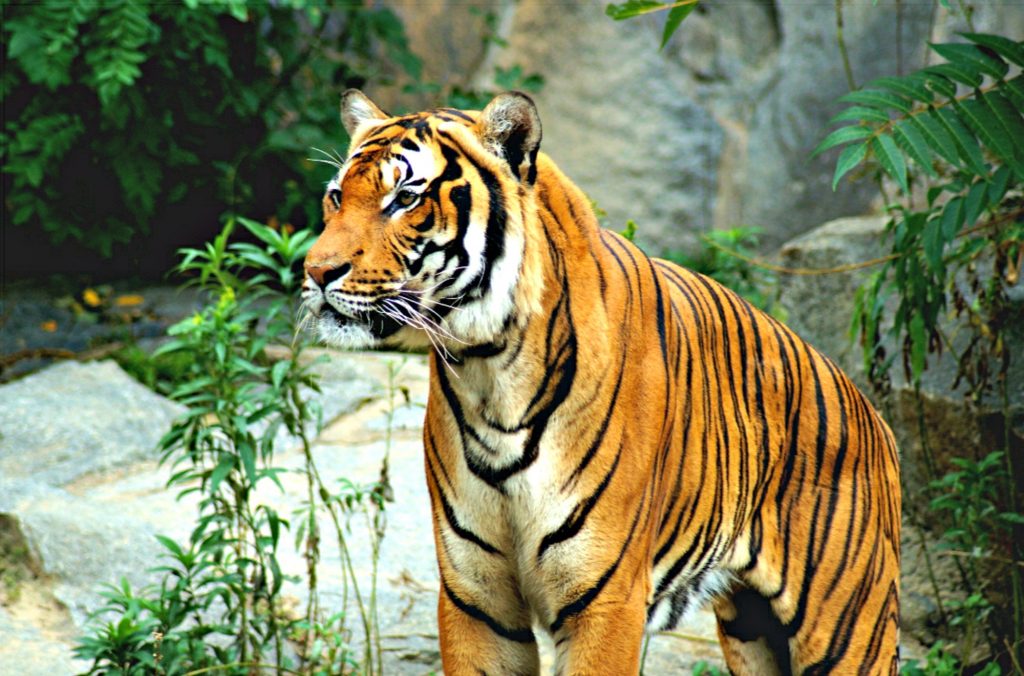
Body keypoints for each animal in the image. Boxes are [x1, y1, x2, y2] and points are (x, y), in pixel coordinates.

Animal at [302, 89, 902, 675]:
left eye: (405, 199)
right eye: (335, 197)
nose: (316, 271)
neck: (488, 371)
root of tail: (873, 415)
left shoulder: (604, 599)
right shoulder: (476, 599)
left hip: (848, 631)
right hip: (752, 631)